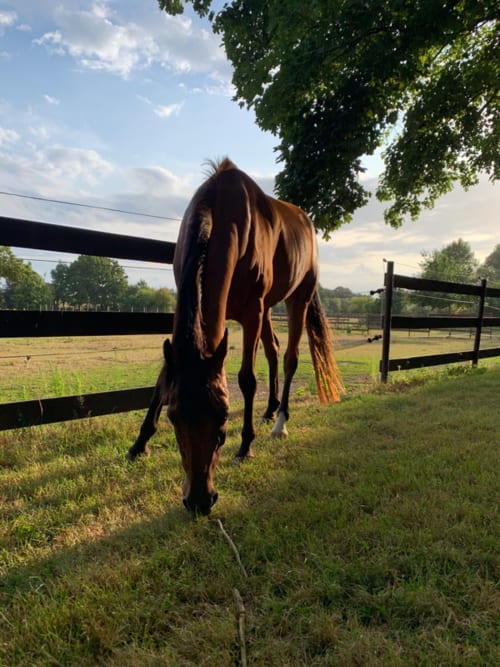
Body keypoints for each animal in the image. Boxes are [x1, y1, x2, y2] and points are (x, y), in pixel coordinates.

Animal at [127, 158, 343, 515]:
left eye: (223, 421)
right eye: (174, 419)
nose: (199, 501)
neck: (221, 210)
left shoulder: (252, 312)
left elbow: (246, 379)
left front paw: (245, 446)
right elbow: (163, 379)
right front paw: (139, 444)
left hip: (296, 299)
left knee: (289, 358)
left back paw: (279, 422)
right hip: (269, 309)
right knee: (273, 349)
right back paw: (269, 410)